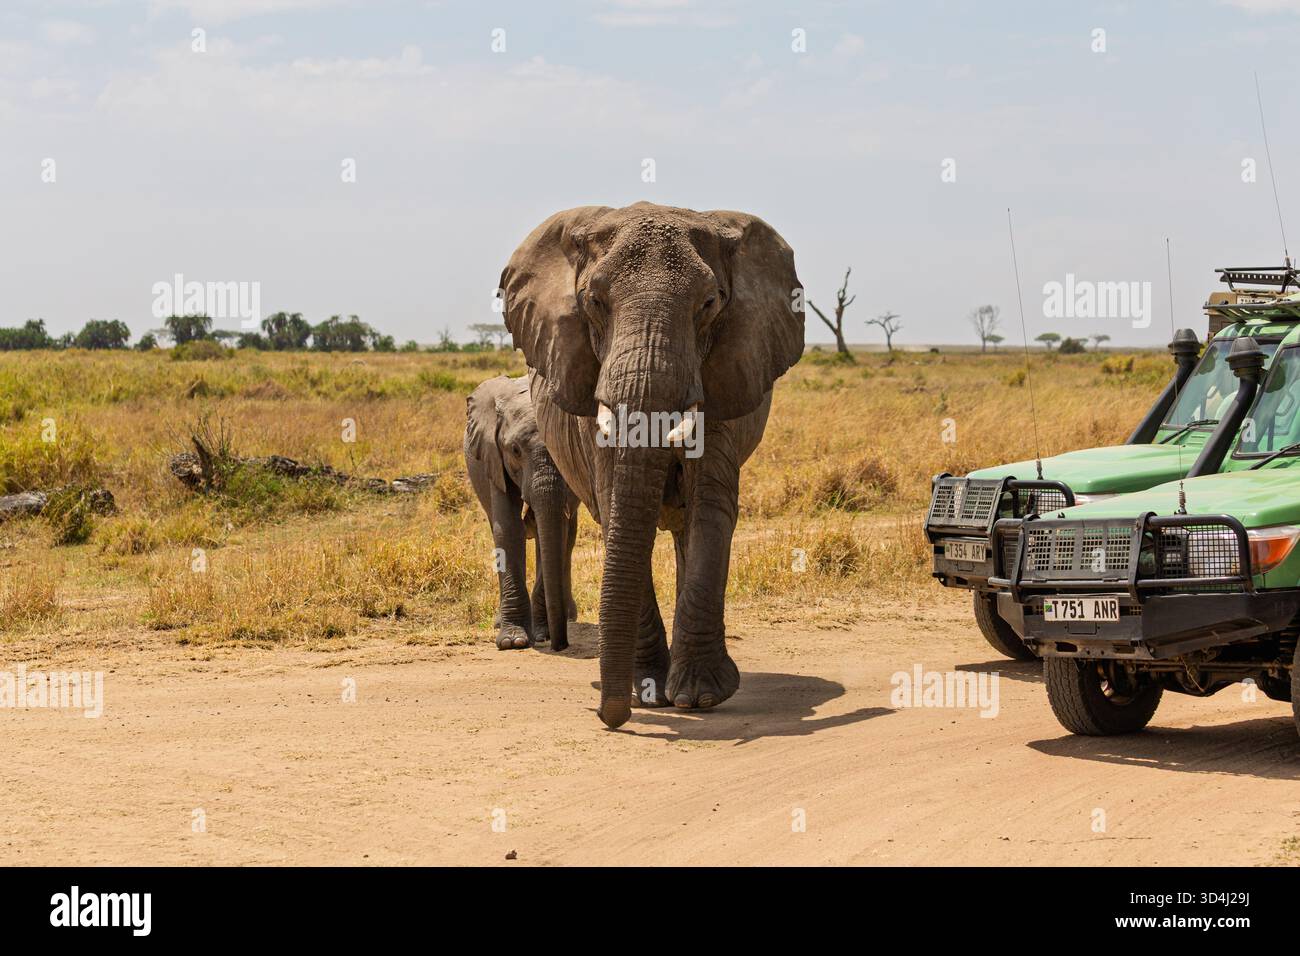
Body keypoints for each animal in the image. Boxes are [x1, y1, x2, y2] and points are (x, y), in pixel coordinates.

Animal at [465, 375, 579, 652]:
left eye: (561, 446)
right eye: (515, 450)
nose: (560, 644)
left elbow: (555, 529)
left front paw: (542, 633)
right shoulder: (493, 457)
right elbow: (507, 528)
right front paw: (513, 641)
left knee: (568, 537)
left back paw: (569, 616)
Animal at [499, 202, 804, 728]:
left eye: (710, 304)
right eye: (593, 301)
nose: (609, 717)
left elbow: (710, 508)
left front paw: (699, 697)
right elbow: (613, 504)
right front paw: (648, 692)